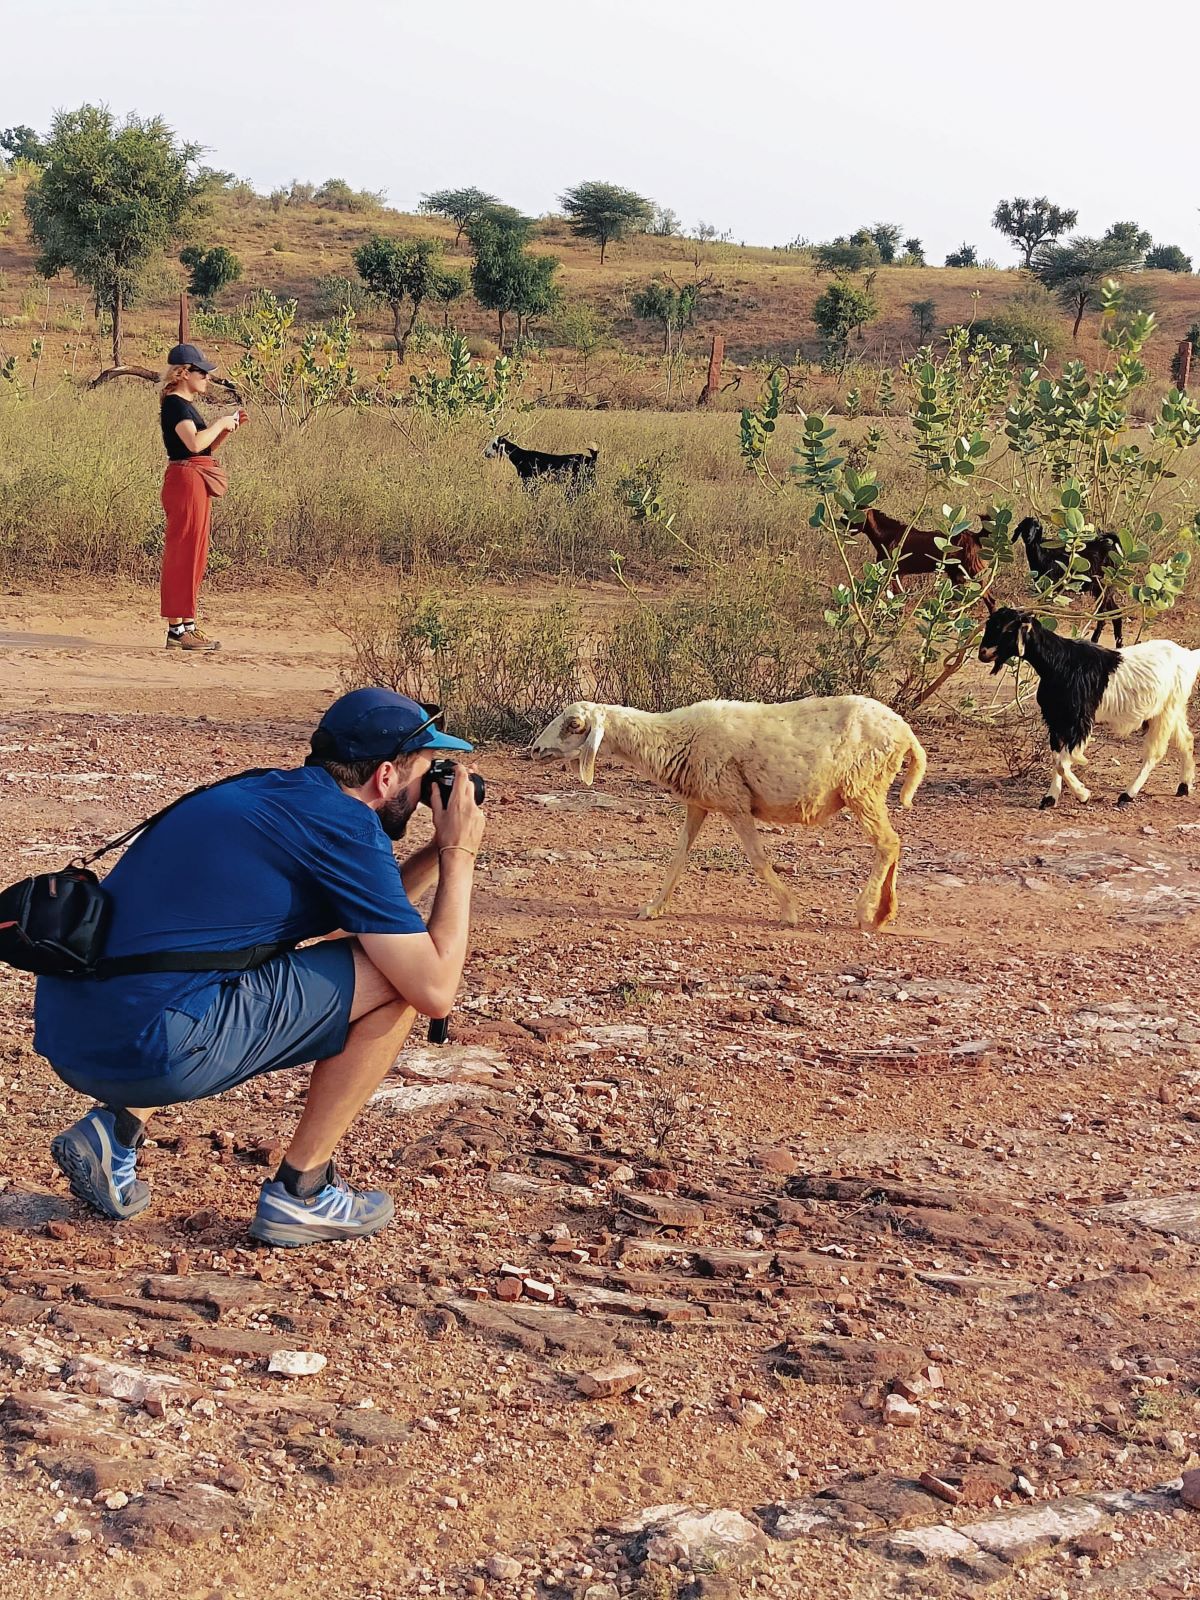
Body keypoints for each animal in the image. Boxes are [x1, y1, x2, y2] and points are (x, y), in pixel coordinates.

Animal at [534, 694, 928, 934]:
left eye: (574, 725)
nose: (535, 749)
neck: (673, 737)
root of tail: (907, 732)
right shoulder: (698, 803)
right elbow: (678, 858)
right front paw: (653, 908)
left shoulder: (735, 802)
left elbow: (758, 859)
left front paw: (789, 911)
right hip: (870, 789)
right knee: (895, 842)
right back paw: (884, 912)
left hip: (862, 787)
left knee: (887, 844)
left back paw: (865, 913)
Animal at [864, 508, 998, 608]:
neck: (887, 534)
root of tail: (975, 536)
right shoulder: (897, 575)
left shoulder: (893, 573)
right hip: (957, 575)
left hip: (976, 573)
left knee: (990, 601)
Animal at [979, 604, 1200, 806]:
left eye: (1008, 629)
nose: (983, 653)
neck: (1059, 663)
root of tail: (1188, 656)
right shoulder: (1056, 719)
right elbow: (1056, 758)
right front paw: (1050, 798)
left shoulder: (1078, 721)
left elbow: (1063, 762)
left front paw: (1083, 794)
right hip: (1172, 707)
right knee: (1187, 739)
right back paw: (1184, 786)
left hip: (1166, 710)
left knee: (1154, 752)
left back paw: (1128, 795)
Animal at [1017, 515, 1126, 646]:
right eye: (1023, 525)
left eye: (1037, 527)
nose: (1028, 537)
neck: (1043, 553)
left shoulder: (1050, 588)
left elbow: (1042, 611)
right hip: (1103, 588)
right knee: (1116, 612)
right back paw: (1119, 644)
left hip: (1105, 585)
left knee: (1103, 614)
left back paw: (1095, 640)